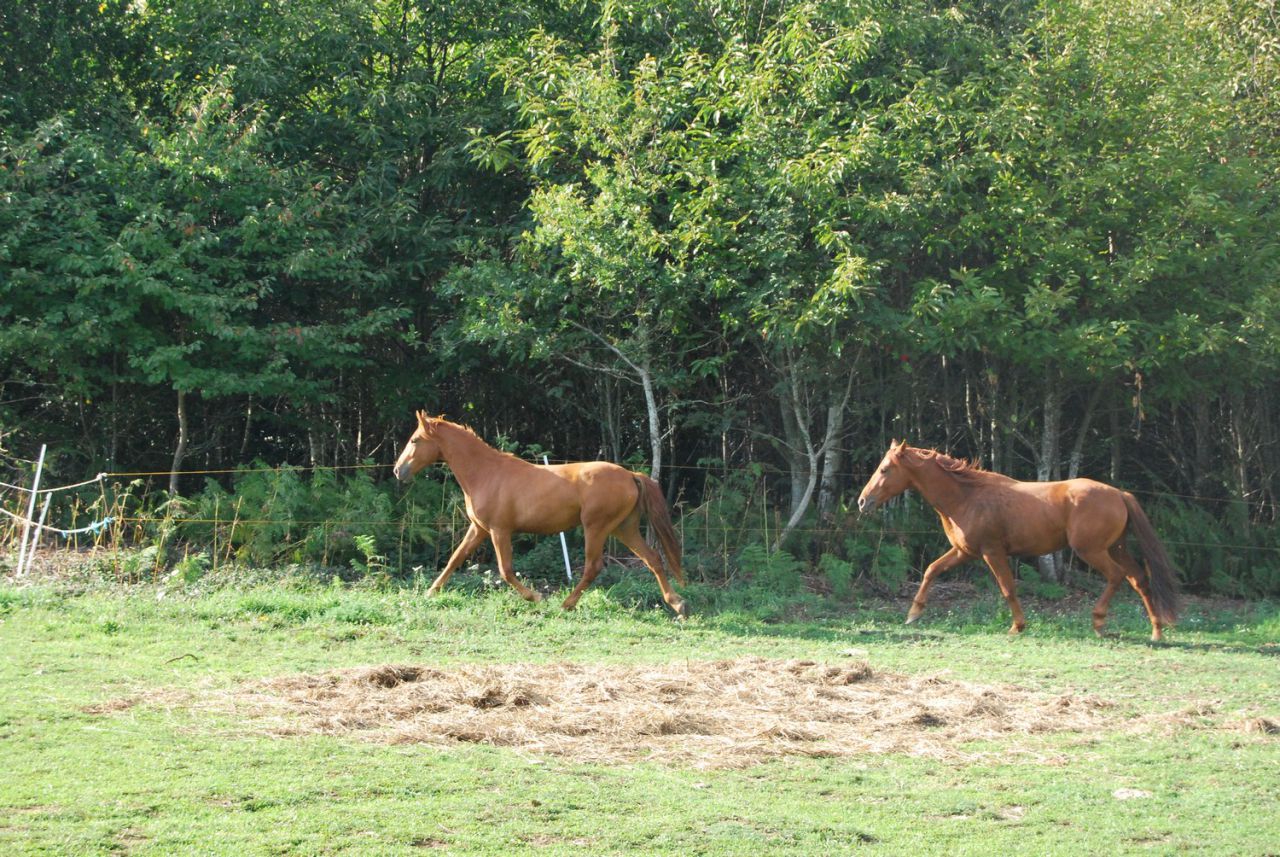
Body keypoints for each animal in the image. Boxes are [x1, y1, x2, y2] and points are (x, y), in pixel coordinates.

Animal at [393, 412, 688, 617]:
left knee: (593, 567)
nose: (398, 470)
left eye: (415, 440)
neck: (486, 473)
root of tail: (630, 475)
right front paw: (430, 592)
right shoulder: (479, 529)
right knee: (653, 559)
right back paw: (677, 604)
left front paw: (536, 597)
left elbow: (505, 570)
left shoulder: (500, 530)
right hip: (623, 528)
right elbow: (455, 559)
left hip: (596, 527)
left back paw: (566, 604)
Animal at [856, 440, 1181, 641]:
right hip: (1116, 548)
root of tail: (1119, 494)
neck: (967, 496)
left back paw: (1099, 623)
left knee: (1116, 577)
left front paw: (1017, 626)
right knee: (1139, 579)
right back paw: (1156, 632)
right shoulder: (963, 552)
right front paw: (913, 615)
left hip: (1092, 550)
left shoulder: (992, 552)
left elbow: (1007, 588)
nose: (862, 501)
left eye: (884, 469)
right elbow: (931, 570)